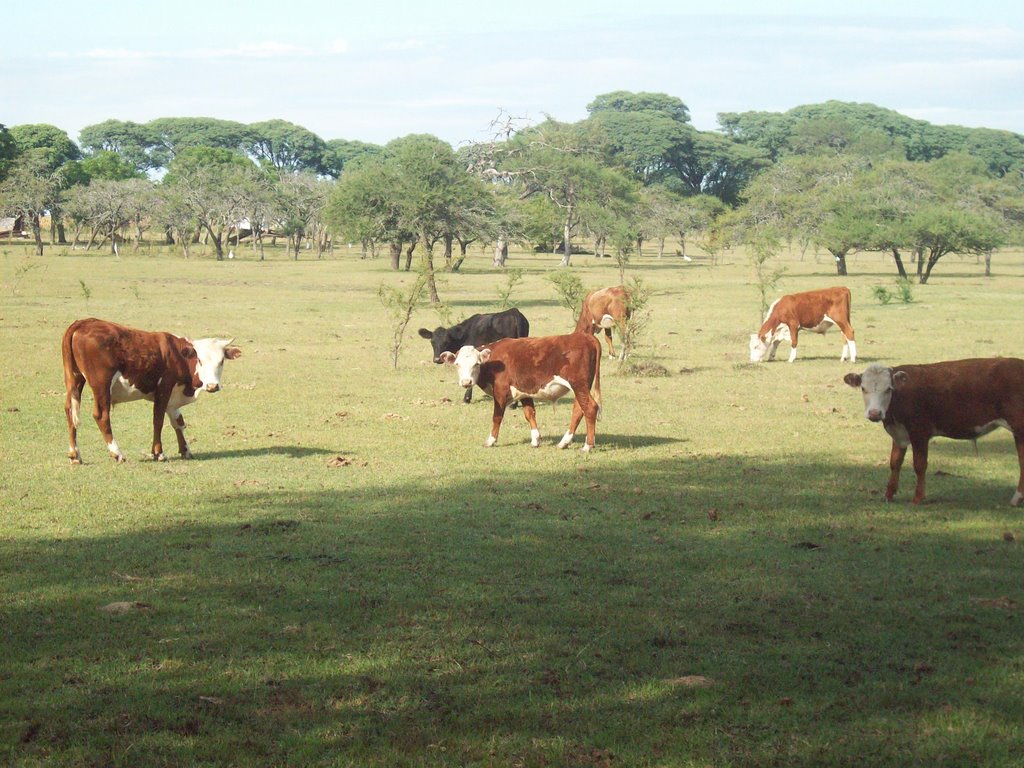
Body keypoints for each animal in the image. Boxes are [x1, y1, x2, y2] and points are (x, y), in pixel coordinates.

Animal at [62, 317, 241, 466]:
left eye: (221, 361)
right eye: (200, 360)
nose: (212, 386)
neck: (179, 356)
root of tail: (83, 323)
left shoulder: (173, 397)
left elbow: (178, 422)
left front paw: (185, 450)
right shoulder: (164, 389)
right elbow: (158, 420)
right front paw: (158, 453)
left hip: (75, 380)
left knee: (70, 411)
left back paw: (75, 455)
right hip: (102, 385)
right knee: (101, 416)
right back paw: (117, 453)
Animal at [438, 335, 598, 450]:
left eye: (476, 364)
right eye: (457, 364)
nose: (466, 382)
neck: (493, 362)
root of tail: (586, 337)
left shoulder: (500, 391)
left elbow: (497, 416)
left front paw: (491, 440)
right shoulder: (524, 392)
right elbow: (529, 414)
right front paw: (535, 440)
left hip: (578, 385)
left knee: (590, 408)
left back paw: (587, 446)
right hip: (582, 387)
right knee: (579, 410)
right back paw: (564, 442)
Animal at [843, 360, 1024, 507]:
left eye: (888, 389)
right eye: (863, 388)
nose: (874, 413)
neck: (900, 397)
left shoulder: (919, 433)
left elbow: (919, 465)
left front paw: (918, 498)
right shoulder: (899, 433)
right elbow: (895, 462)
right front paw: (889, 494)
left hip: (1019, 428)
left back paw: (1016, 498)